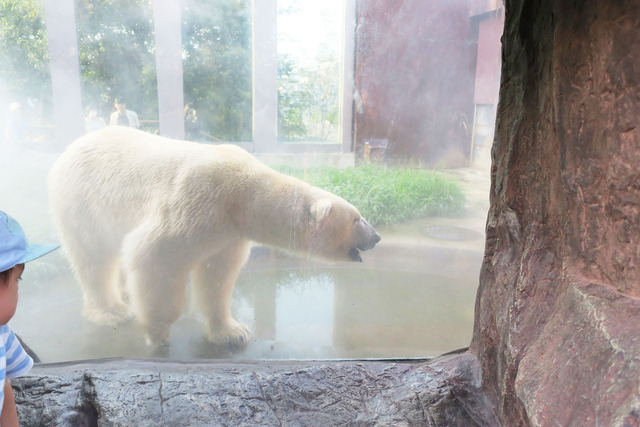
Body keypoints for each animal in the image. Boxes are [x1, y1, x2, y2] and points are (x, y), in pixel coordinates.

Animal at [51, 127, 380, 348]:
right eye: (356, 218)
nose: (376, 237)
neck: (245, 197)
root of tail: (69, 149)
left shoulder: (228, 232)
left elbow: (217, 276)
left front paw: (233, 333)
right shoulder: (199, 198)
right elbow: (154, 255)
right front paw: (158, 331)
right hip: (82, 202)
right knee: (92, 258)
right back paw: (113, 312)